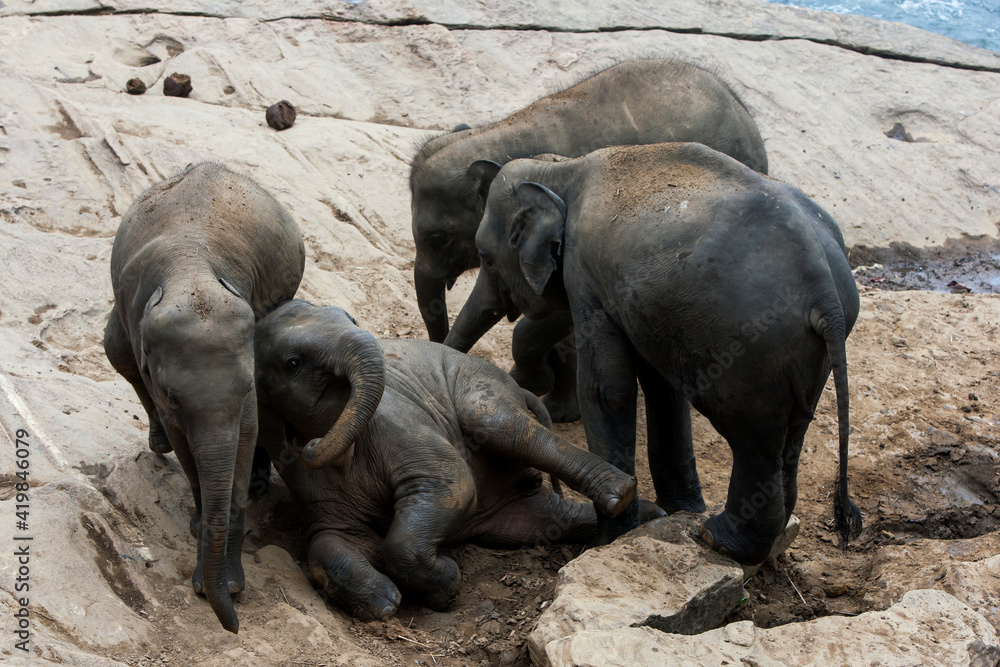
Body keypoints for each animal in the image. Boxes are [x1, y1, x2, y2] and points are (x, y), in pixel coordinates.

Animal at [103, 163, 305, 632]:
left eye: (247, 387)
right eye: (175, 397)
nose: (233, 626)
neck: (191, 270)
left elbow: (245, 436)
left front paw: (229, 585)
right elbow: (187, 444)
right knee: (115, 348)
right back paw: (158, 444)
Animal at [252, 300, 645, 619]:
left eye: (351, 317)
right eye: (293, 364)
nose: (312, 445)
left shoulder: (396, 418)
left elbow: (450, 484)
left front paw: (448, 584)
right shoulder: (301, 476)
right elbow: (329, 540)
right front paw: (385, 603)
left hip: (481, 386)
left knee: (498, 424)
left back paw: (620, 496)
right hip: (510, 513)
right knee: (543, 517)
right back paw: (640, 517)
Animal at [467, 142, 862, 565]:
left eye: (485, 258)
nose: (515, 380)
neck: (562, 169)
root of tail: (824, 287)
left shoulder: (585, 274)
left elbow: (608, 390)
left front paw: (607, 543)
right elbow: (663, 390)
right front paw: (678, 512)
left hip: (754, 349)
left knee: (754, 442)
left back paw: (718, 541)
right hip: (804, 355)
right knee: (791, 434)